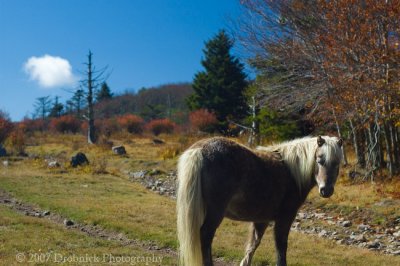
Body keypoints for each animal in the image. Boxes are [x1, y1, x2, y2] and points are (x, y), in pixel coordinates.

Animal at [177, 136, 342, 264]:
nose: (326, 190)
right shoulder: (284, 218)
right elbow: (281, 247)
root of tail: (200, 149)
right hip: (215, 212)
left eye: (337, 163)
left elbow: (252, 246)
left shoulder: (261, 220)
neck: (291, 171)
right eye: (319, 160)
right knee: (206, 235)